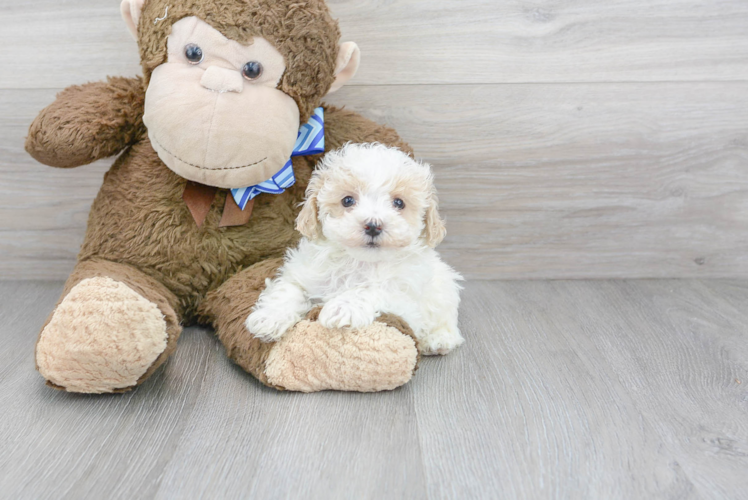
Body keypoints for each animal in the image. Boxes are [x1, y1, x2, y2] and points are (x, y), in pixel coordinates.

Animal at [248, 142, 464, 356]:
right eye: (347, 200)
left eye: (399, 203)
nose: (373, 225)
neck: (359, 262)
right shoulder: (302, 273)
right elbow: (288, 289)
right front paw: (269, 317)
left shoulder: (406, 301)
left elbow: (372, 290)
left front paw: (343, 308)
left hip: (445, 289)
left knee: (446, 319)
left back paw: (439, 339)